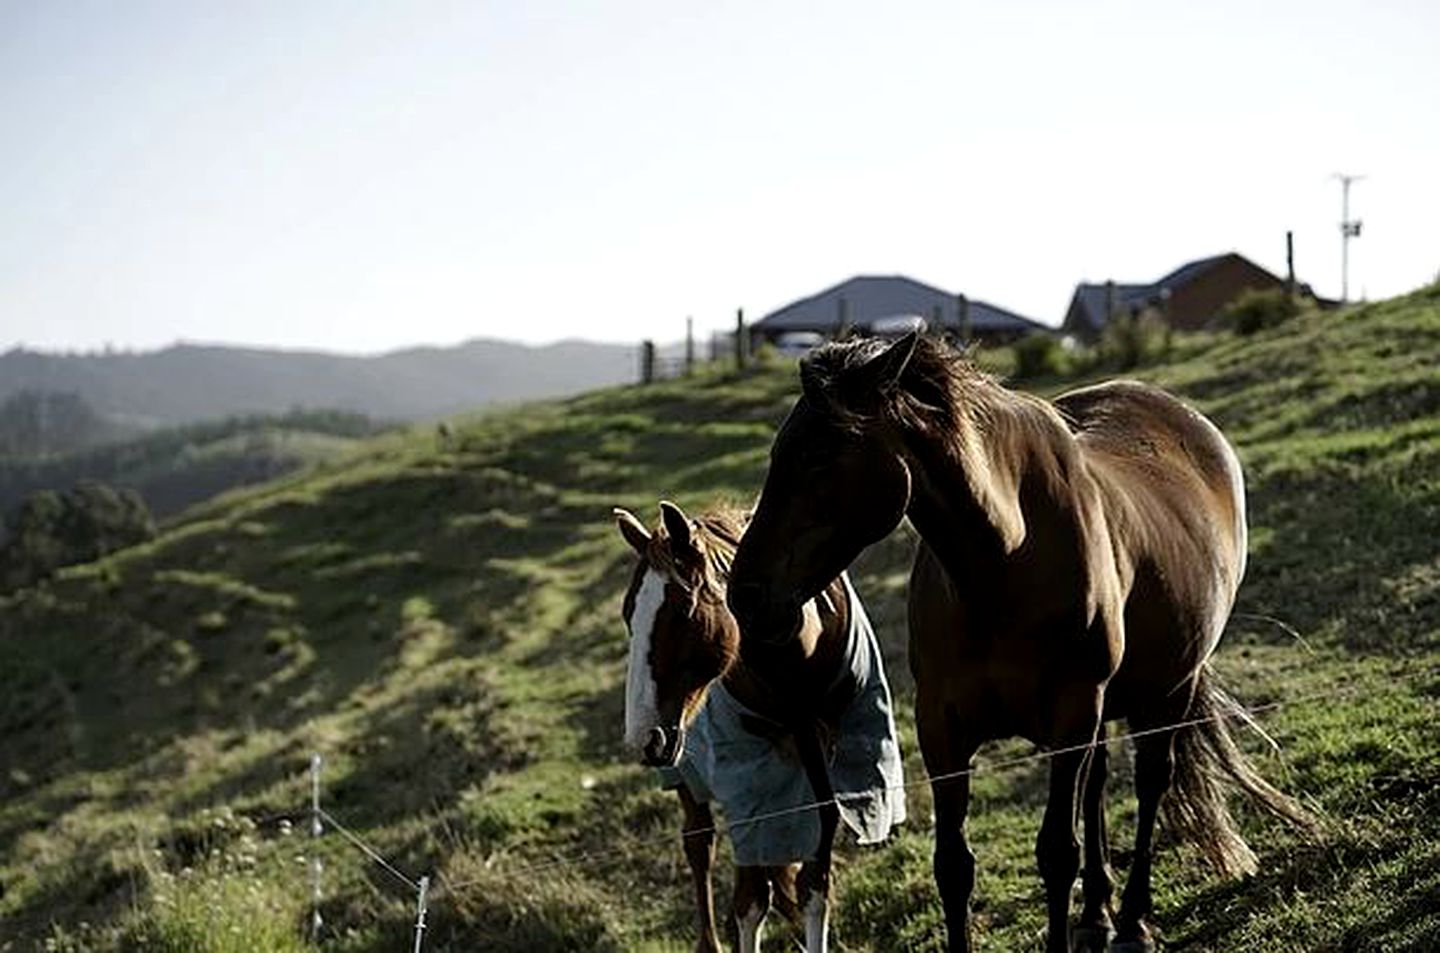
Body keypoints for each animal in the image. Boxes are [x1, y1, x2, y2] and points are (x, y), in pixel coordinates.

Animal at [731, 332, 1307, 950]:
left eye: (820, 456)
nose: (745, 594)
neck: (1003, 564)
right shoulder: (942, 726)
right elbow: (953, 866)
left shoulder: (1073, 712)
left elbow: (1056, 853)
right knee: (1098, 784)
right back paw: (1096, 915)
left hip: (1169, 688)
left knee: (1152, 782)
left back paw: (1130, 921)